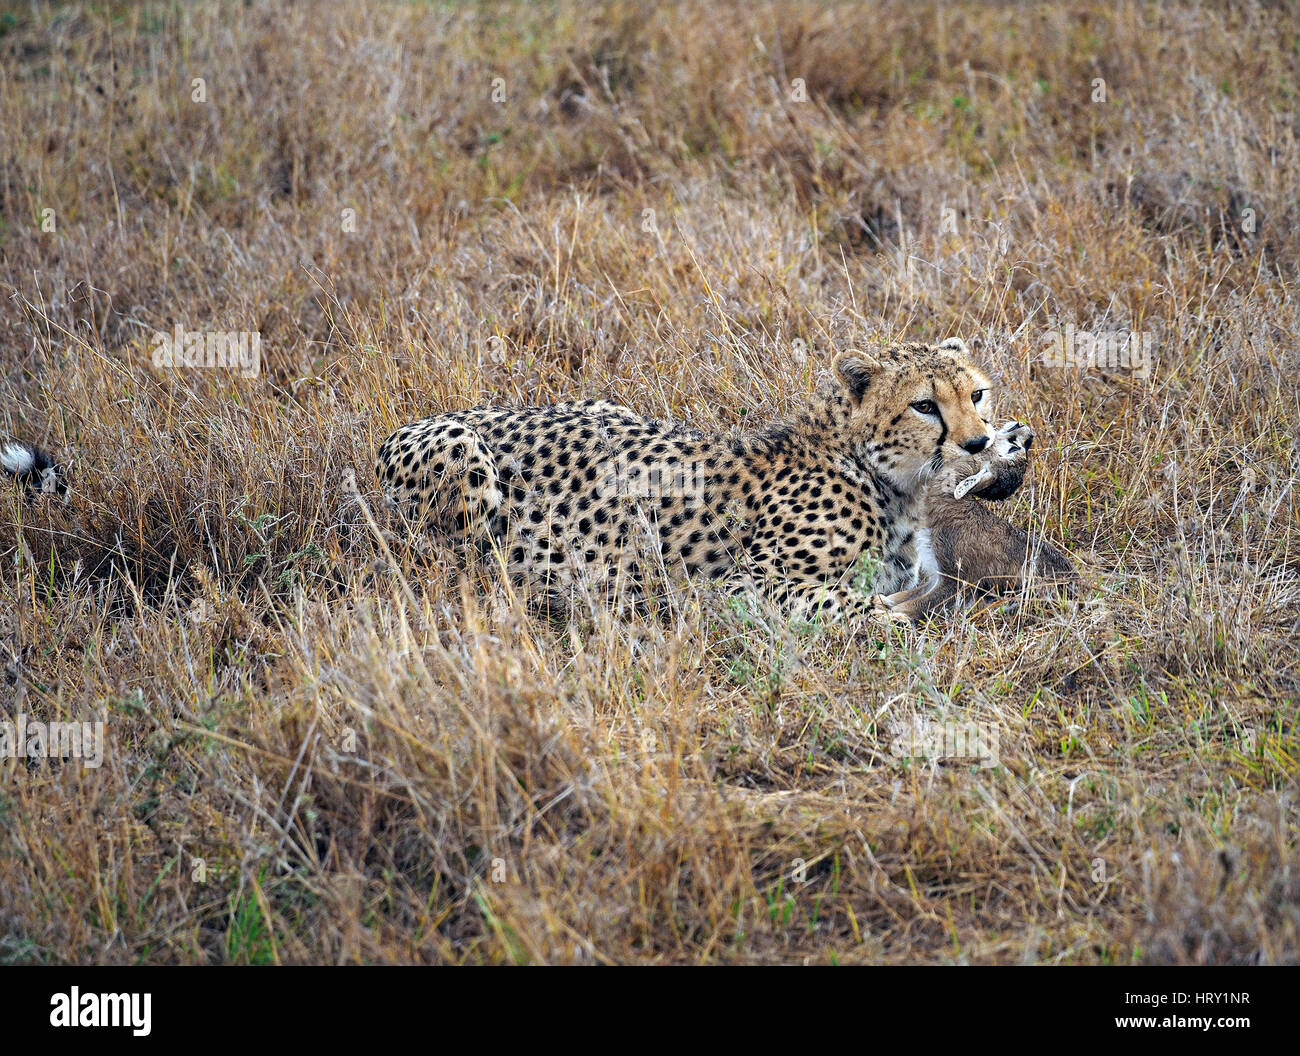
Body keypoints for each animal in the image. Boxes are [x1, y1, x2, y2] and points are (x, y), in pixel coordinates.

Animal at [372, 337, 1040, 625]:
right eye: (925, 405)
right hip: (466, 465)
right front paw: (896, 617)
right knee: (464, 568)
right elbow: (848, 603)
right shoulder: (741, 583)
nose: (979, 443)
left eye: (976, 395)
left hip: (609, 406)